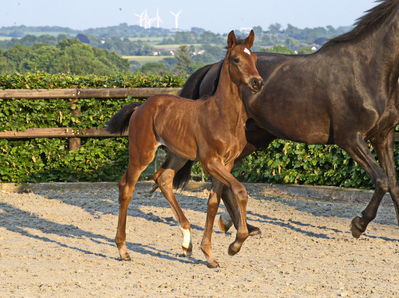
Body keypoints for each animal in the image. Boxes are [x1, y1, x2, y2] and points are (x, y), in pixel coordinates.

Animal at [107, 30, 266, 268]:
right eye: (236, 59)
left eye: (254, 59)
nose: (257, 82)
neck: (223, 115)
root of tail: (141, 106)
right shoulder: (210, 161)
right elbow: (240, 191)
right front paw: (235, 245)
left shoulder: (226, 163)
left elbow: (213, 201)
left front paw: (209, 254)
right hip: (142, 153)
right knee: (127, 187)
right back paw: (123, 249)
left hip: (178, 155)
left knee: (163, 179)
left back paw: (186, 242)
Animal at [177, 0, 399, 237]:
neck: (364, 71)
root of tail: (213, 67)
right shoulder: (350, 139)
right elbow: (382, 181)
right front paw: (358, 224)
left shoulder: (383, 137)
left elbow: (393, 183)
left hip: (252, 139)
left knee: (226, 178)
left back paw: (241, 226)